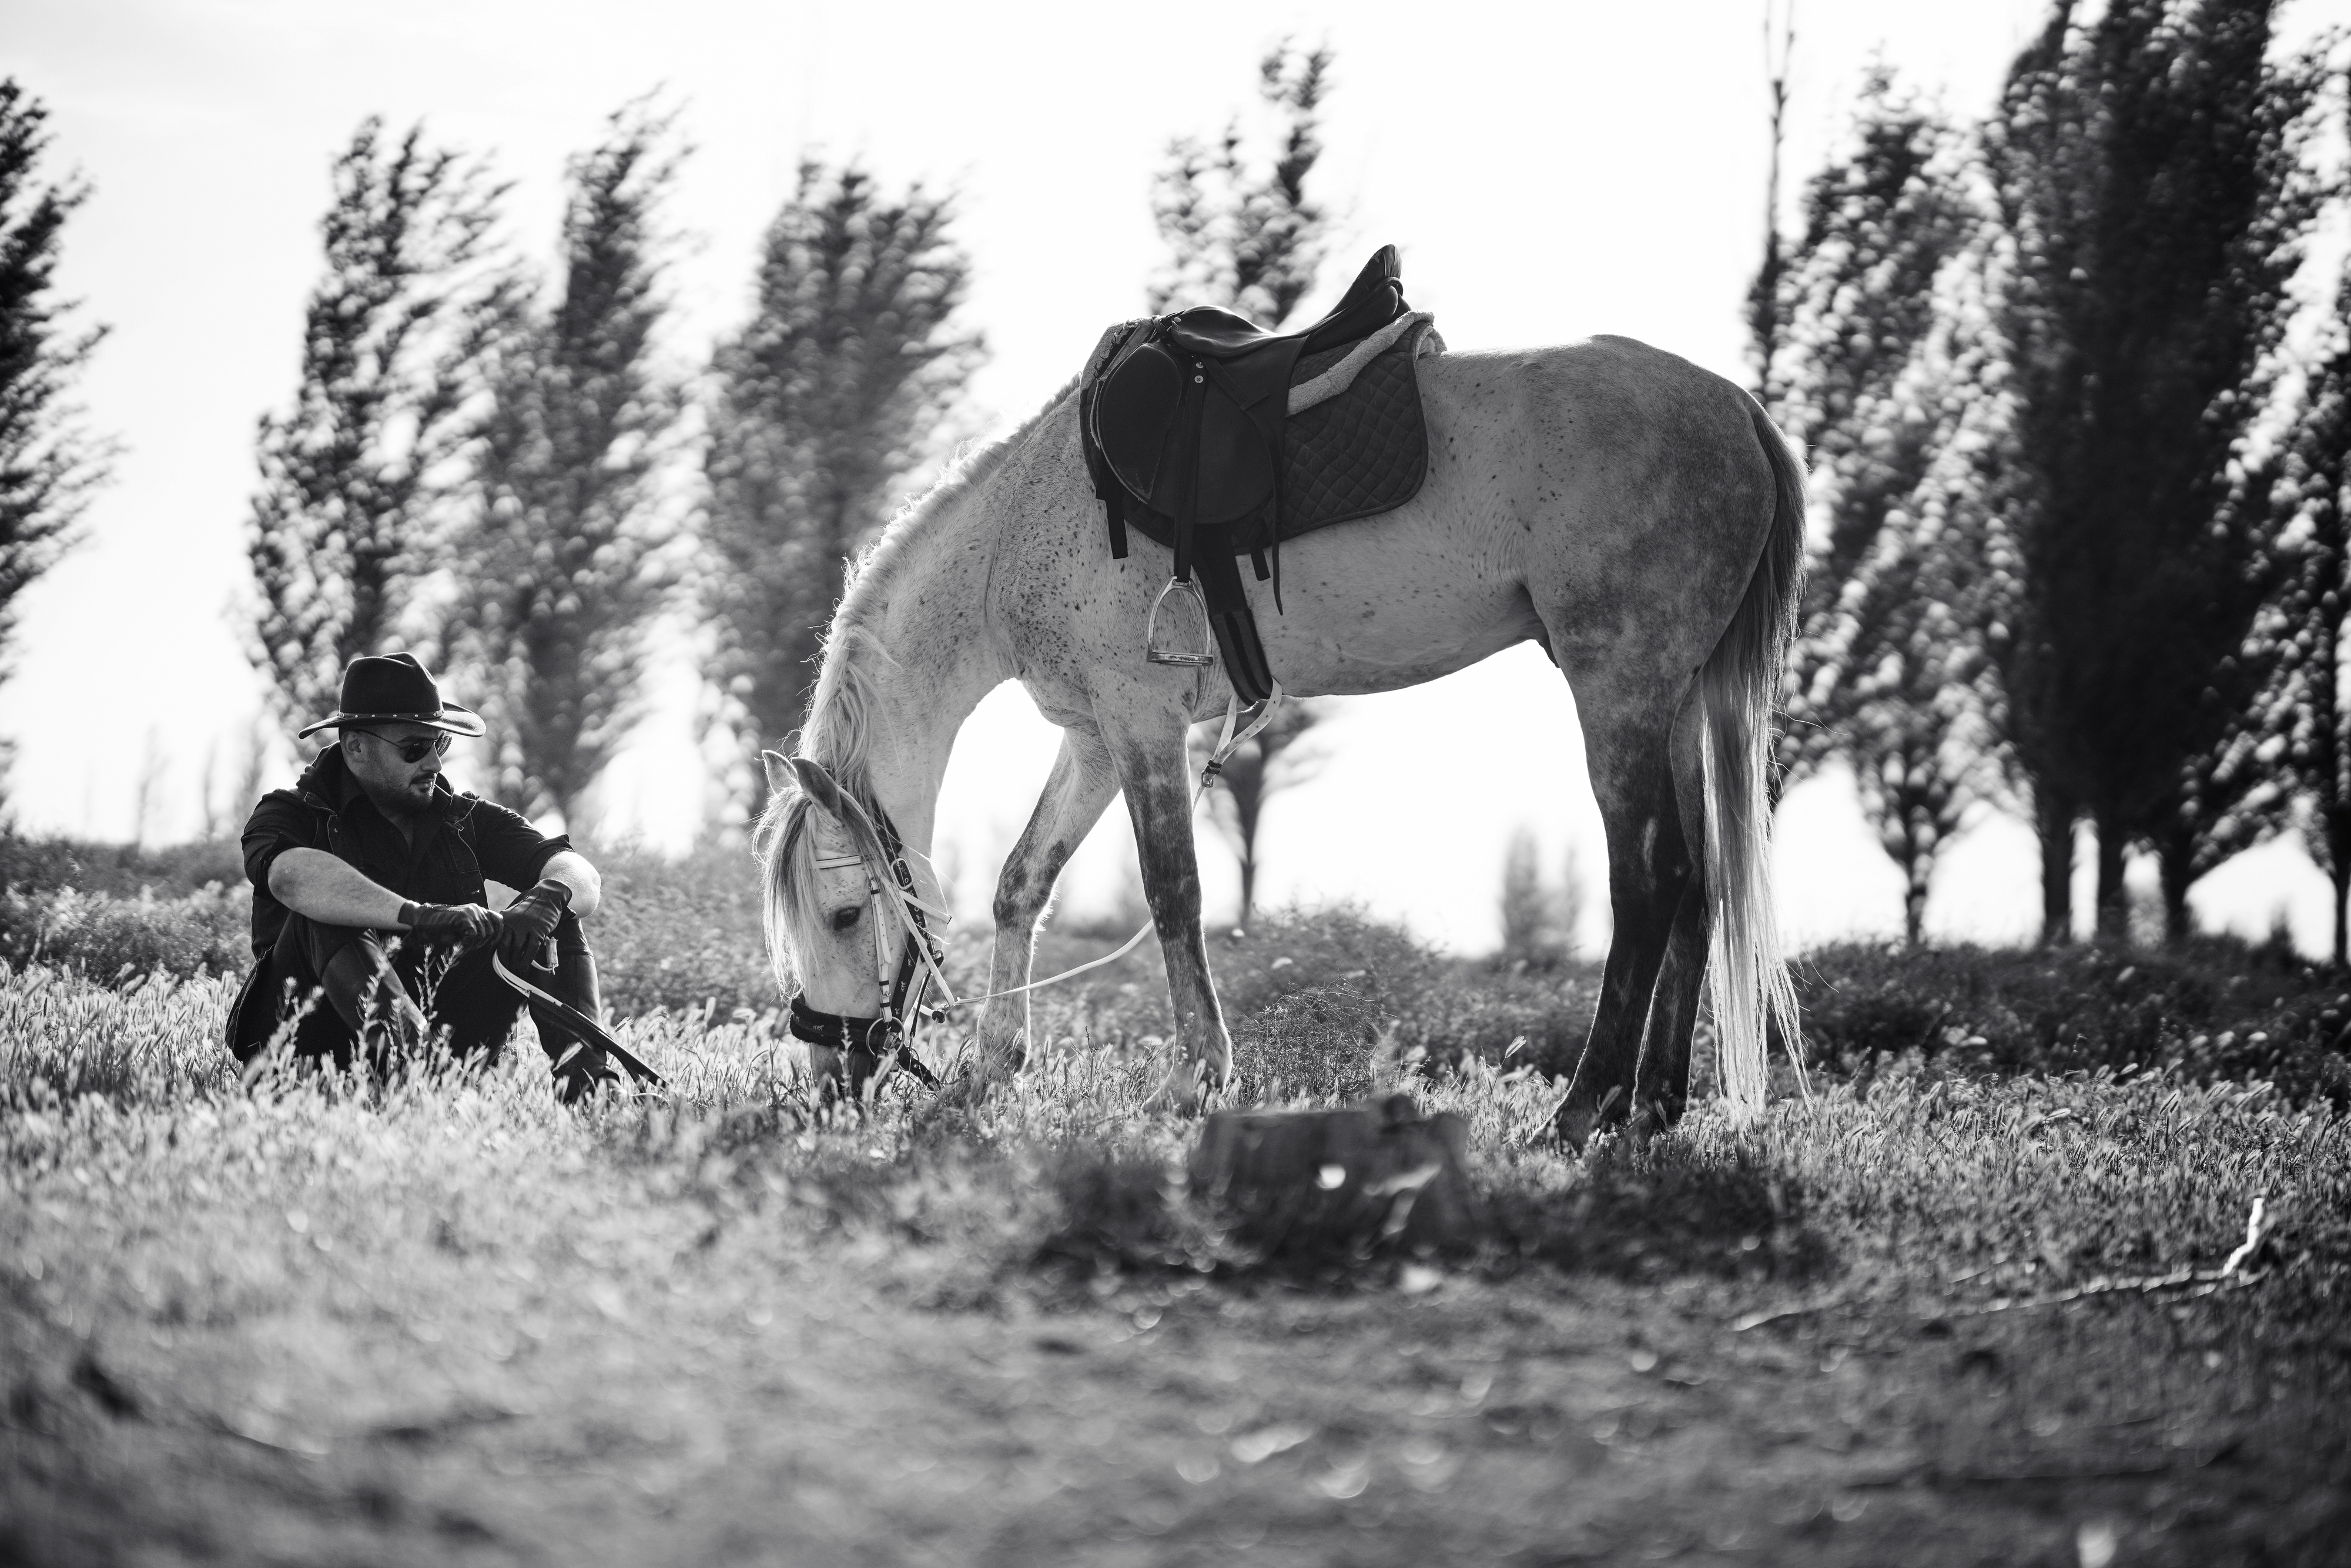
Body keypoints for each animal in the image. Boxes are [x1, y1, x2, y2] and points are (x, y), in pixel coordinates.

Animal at [754, 332, 1806, 1143]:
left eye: (843, 917)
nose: (832, 1081)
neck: (1019, 529)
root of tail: (1739, 412)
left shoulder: (1141, 726)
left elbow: (1174, 895)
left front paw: (1195, 1081)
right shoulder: (1095, 738)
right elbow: (1022, 884)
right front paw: (993, 1067)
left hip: (1617, 689)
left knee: (1651, 880)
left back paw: (1586, 1109)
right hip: (1673, 698)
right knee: (1700, 884)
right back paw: (1656, 1106)